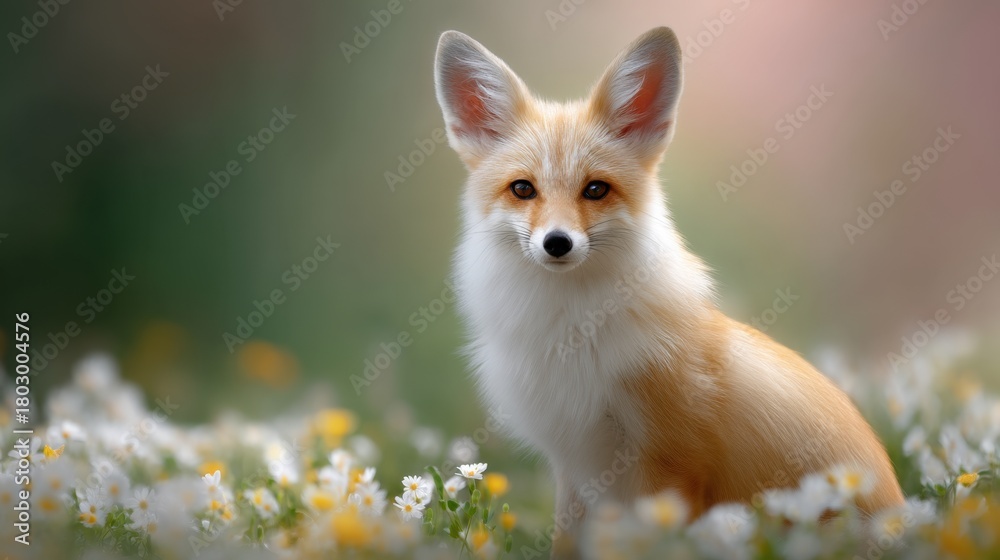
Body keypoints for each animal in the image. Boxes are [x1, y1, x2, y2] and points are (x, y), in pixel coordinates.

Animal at [433, 26, 904, 557]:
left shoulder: (671, 463)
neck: (572, 334)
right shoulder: (576, 467)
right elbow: (565, 544)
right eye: (522, 189)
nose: (557, 243)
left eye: (595, 190)